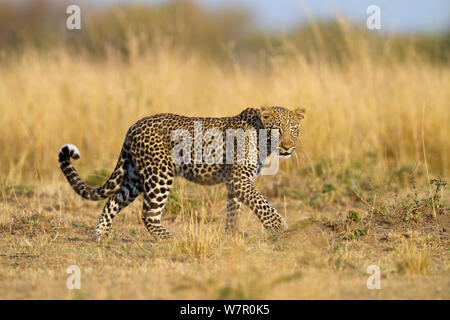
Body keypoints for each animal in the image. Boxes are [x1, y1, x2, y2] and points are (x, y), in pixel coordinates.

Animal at [58, 106, 306, 241]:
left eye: (294, 129)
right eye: (278, 130)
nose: (287, 147)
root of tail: (133, 126)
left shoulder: (235, 182)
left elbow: (234, 211)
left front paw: (231, 236)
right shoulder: (239, 179)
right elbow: (263, 204)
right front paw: (280, 228)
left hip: (135, 177)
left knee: (113, 200)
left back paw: (102, 236)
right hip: (160, 174)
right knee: (147, 213)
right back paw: (170, 238)